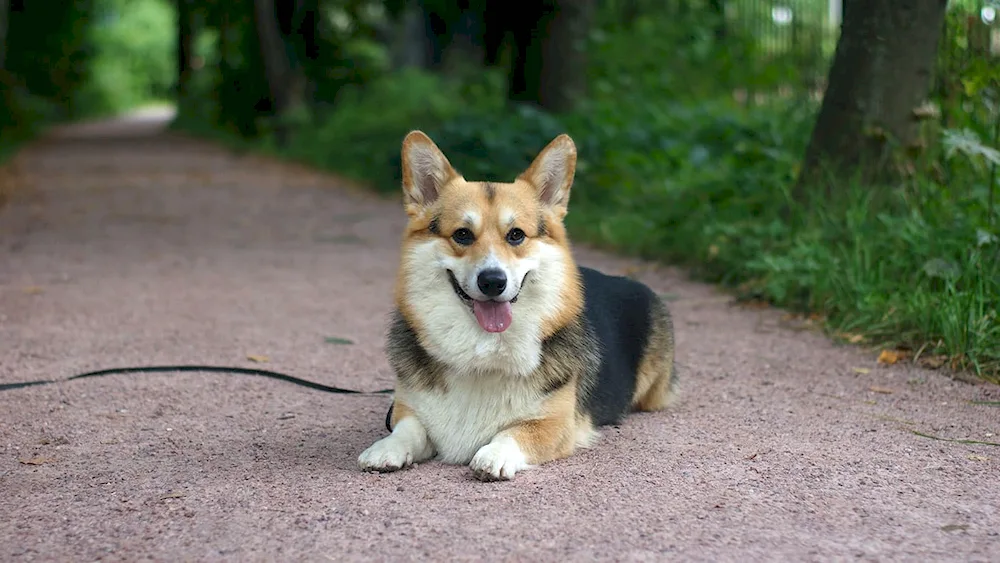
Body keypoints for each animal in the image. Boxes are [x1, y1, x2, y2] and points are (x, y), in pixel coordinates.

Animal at [356, 130, 676, 482]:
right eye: (462, 234)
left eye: (516, 235)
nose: (492, 281)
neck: (481, 350)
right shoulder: (408, 409)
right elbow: (407, 428)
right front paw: (386, 448)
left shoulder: (556, 424)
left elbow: (516, 431)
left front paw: (494, 454)